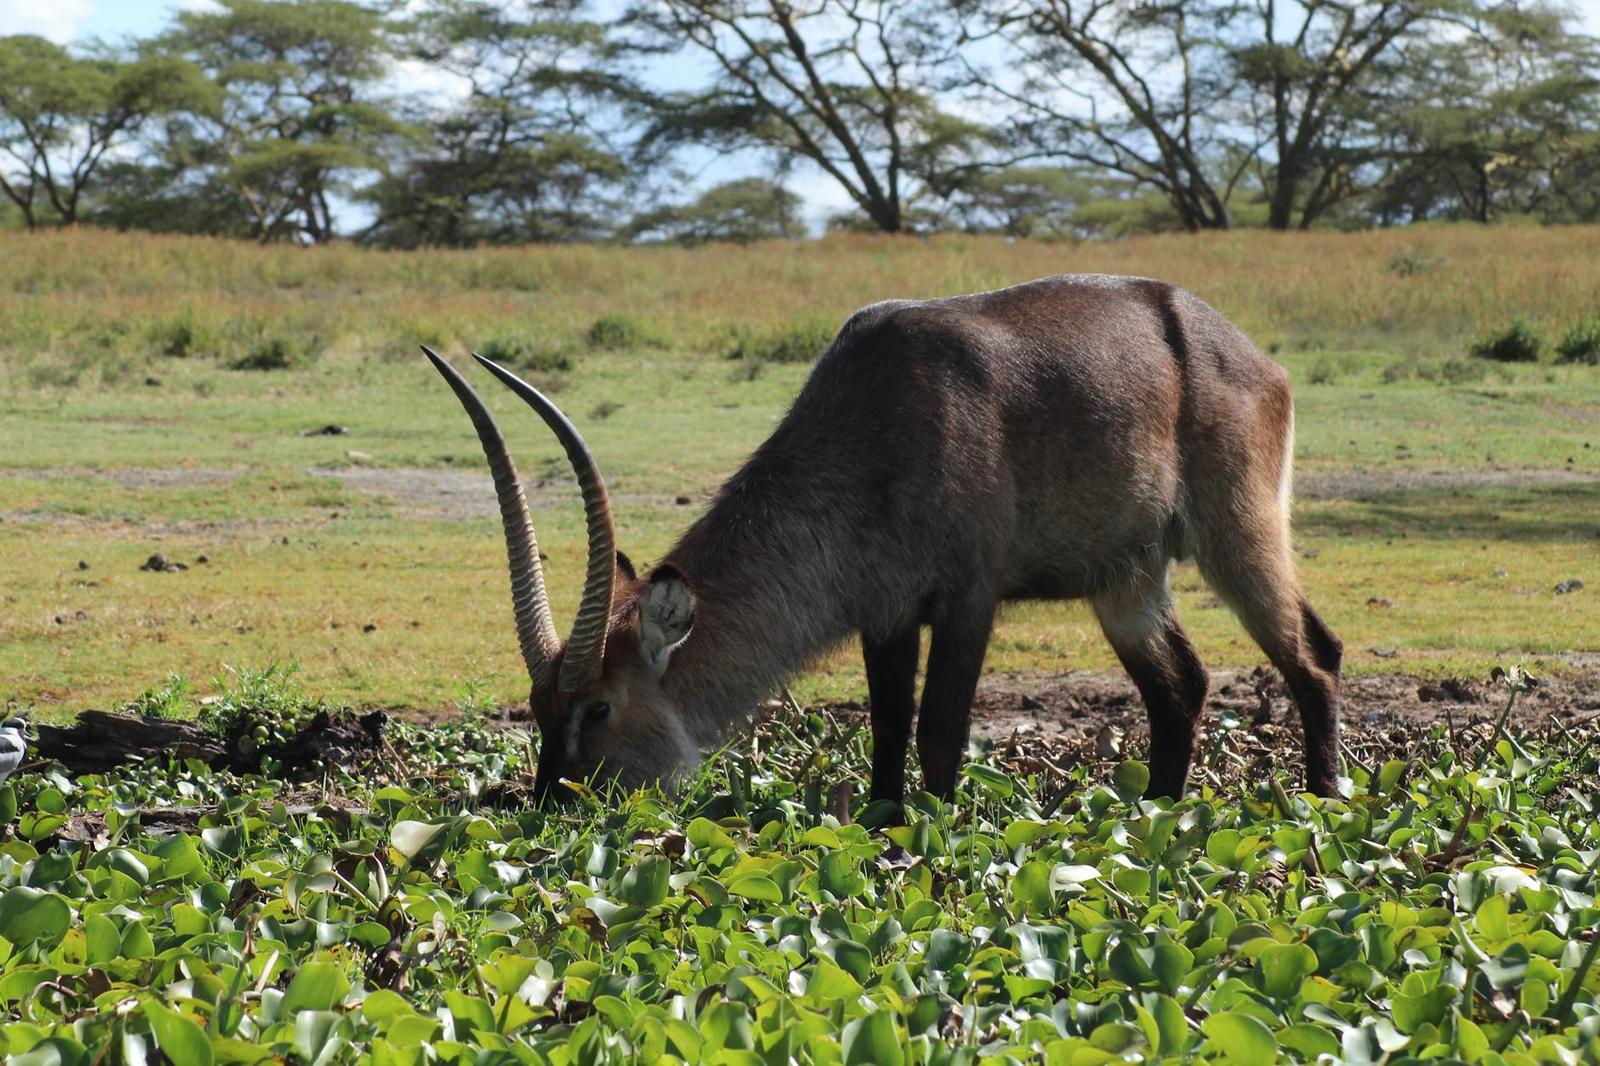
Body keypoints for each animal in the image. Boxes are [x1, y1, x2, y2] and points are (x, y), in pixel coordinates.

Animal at [423, 273, 1342, 804]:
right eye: (539, 711)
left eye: (599, 706)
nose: (553, 804)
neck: (874, 418)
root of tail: (1238, 346)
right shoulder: (886, 613)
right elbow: (889, 734)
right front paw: (888, 833)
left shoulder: (968, 600)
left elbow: (939, 733)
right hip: (1126, 582)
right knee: (1180, 687)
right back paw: (1158, 819)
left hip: (1238, 535)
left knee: (1313, 655)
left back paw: (1324, 802)